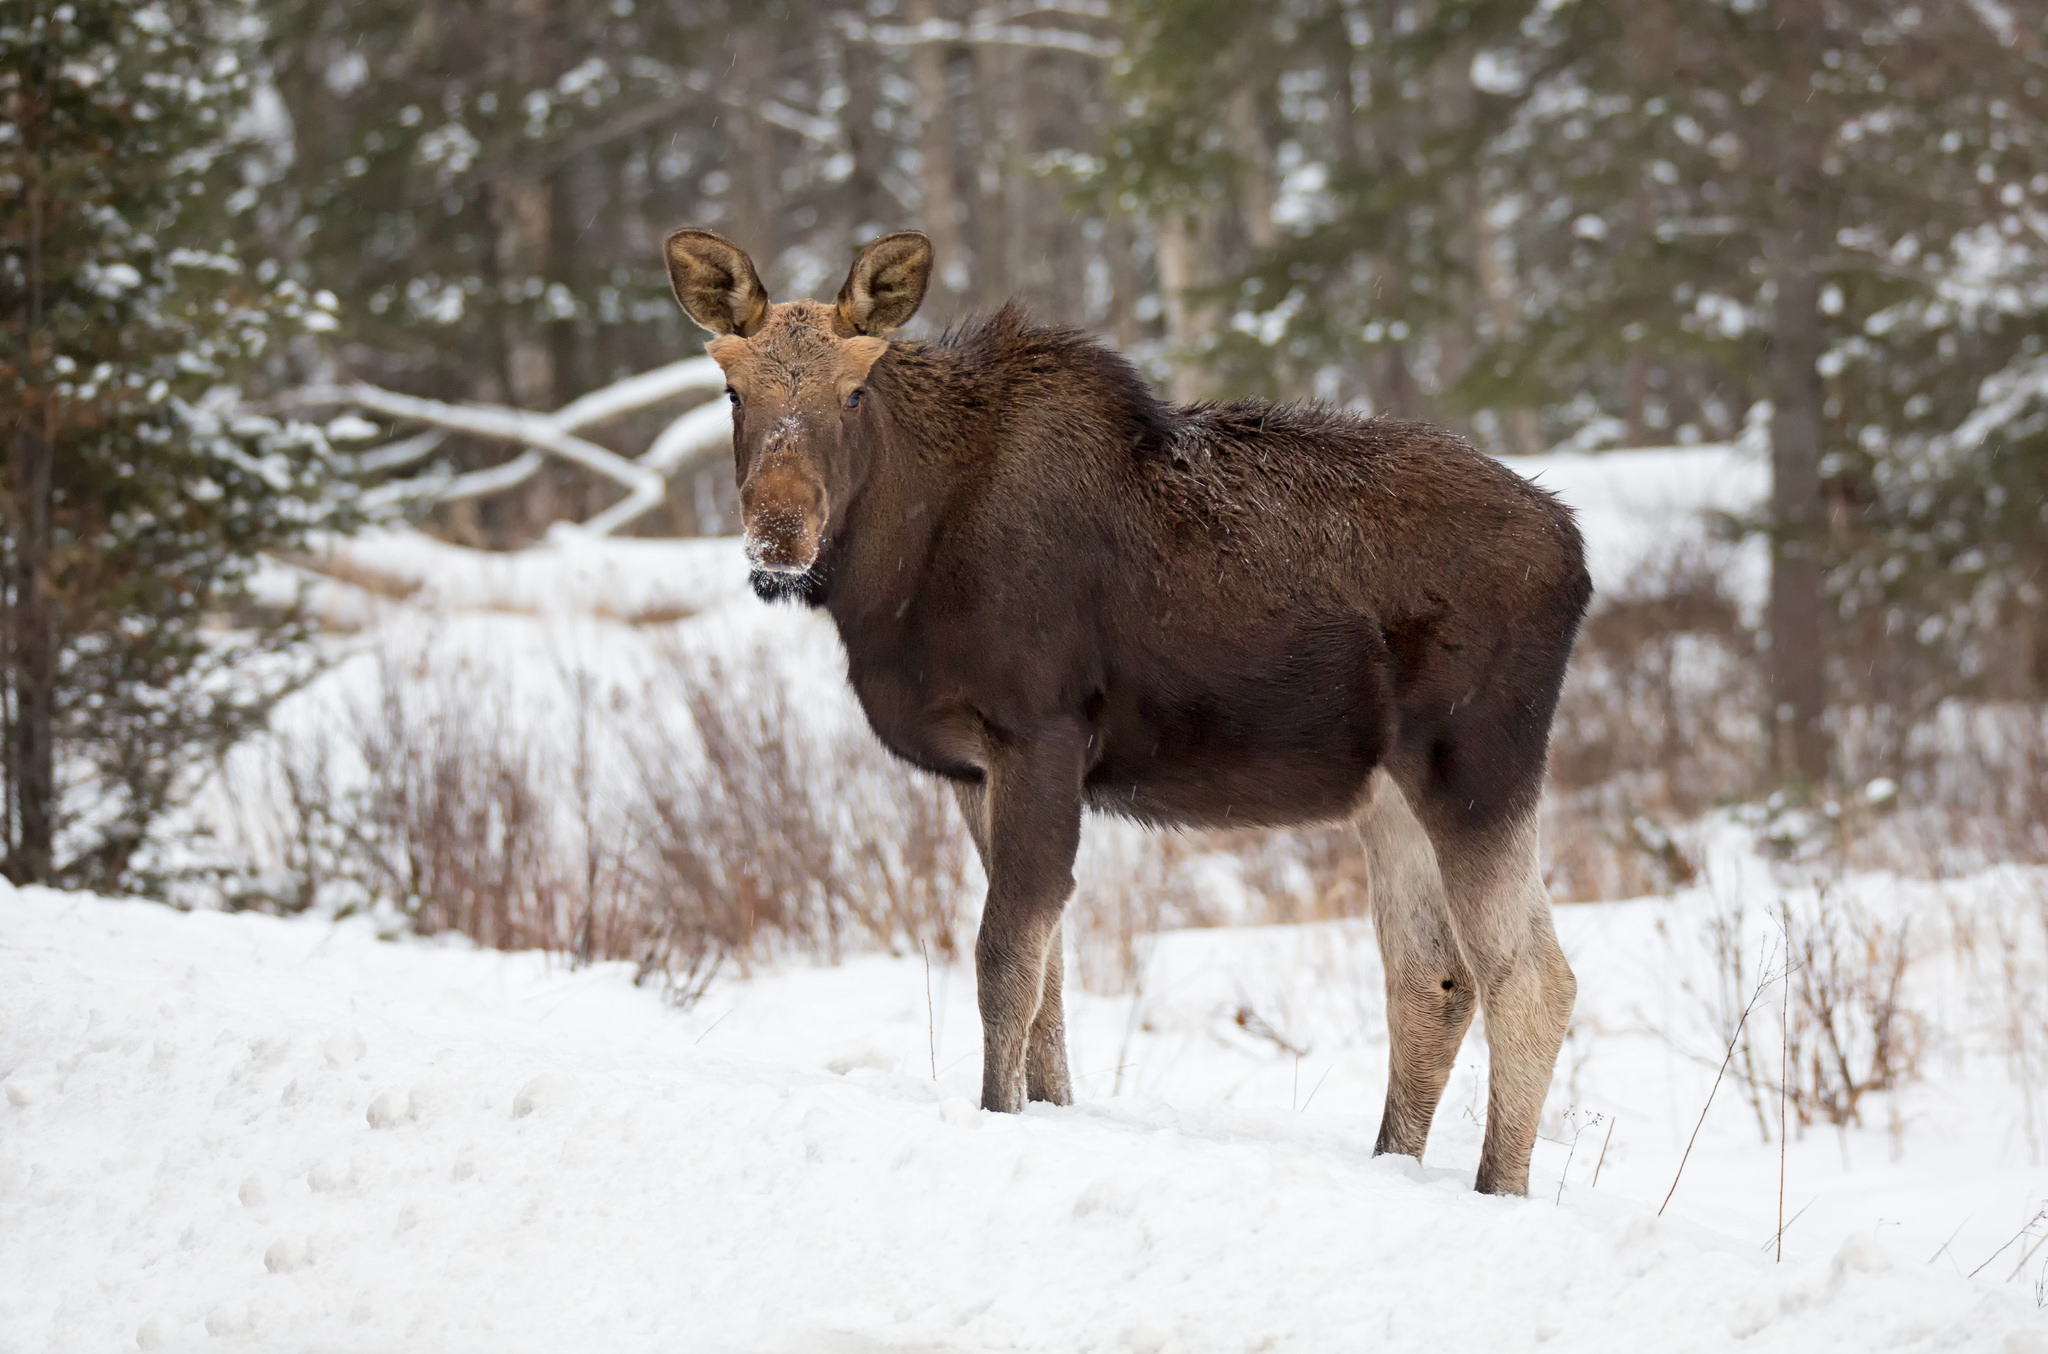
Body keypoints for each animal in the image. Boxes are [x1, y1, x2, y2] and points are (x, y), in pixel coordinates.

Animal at [663, 227, 1589, 1188]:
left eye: (853, 390)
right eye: (733, 390)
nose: (778, 537)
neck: (897, 572)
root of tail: (1576, 549)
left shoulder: (1038, 732)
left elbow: (1006, 960)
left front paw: (999, 1112)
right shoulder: (972, 767)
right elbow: (1049, 978)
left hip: (1475, 762)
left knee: (1531, 977)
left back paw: (1496, 1187)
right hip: (1390, 791)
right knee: (1431, 978)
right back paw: (1393, 1163)